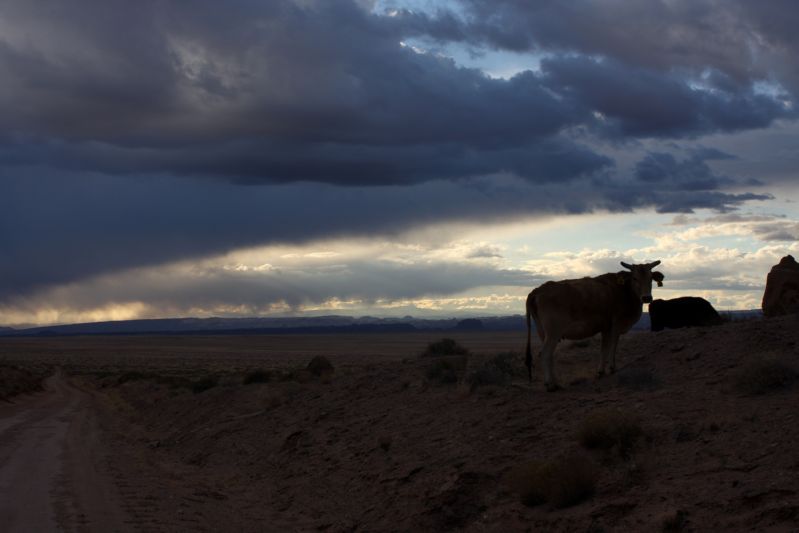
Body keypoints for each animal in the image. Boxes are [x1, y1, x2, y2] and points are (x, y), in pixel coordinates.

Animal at [525, 261, 664, 391]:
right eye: (635, 278)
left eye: (651, 277)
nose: (646, 298)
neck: (624, 290)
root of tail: (538, 290)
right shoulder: (615, 325)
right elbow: (612, 346)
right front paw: (611, 368)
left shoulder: (605, 328)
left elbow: (604, 349)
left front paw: (600, 371)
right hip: (553, 333)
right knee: (545, 353)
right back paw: (550, 385)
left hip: (543, 332)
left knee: (550, 356)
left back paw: (556, 383)